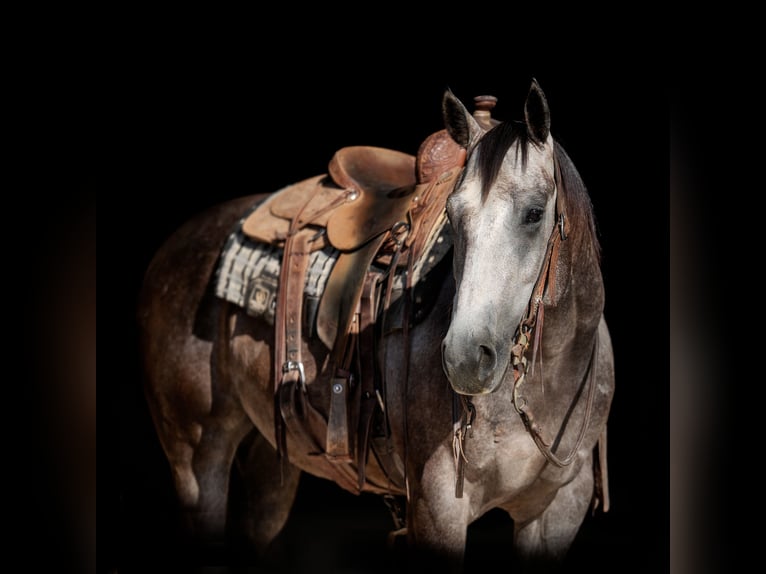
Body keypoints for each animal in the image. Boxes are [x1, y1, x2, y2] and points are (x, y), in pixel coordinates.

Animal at [138, 79, 615, 572]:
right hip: (196, 458)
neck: (546, 379)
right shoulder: (437, 504)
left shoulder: (558, 510)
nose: (465, 358)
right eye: (453, 215)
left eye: (535, 213)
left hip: (270, 455)